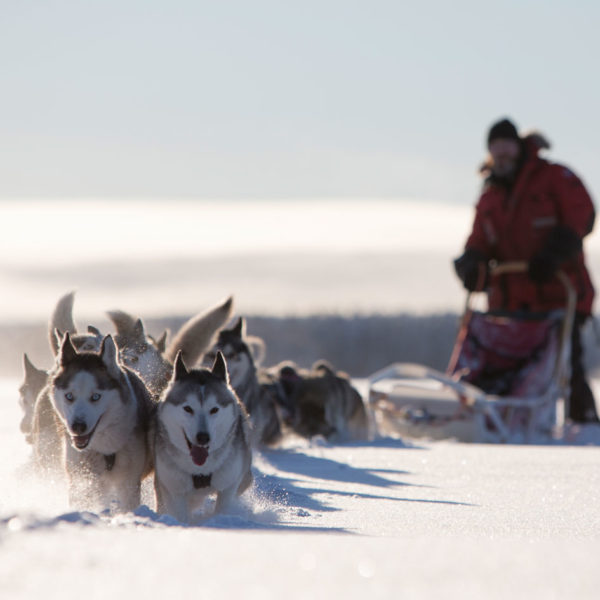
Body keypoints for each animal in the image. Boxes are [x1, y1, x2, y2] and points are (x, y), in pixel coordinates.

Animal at [38, 332, 154, 510]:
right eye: (69, 396)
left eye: (95, 397)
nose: (78, 427)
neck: (105, 449)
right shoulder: (82, 480)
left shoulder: (128, 482)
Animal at [154, 350, 252, 524]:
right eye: (188, 408)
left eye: (214, 409)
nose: (203, 437)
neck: (200, 470)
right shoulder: (173, 488)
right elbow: (179, 515)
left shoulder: (229, 485)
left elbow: (223, 507)